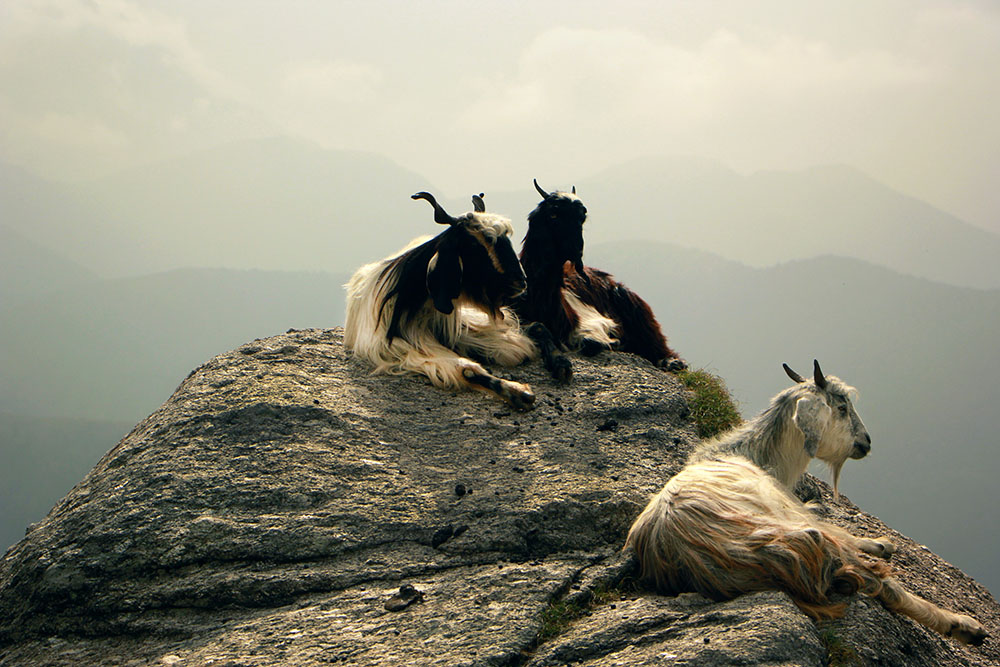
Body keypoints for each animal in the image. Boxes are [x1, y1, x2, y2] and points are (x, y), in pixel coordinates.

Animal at [512, 181, 684, 380]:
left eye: (582, 217)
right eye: (553, 214)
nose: (576, 250)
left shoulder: (594, 319)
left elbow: (590, 341)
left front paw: (612, 342)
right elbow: (538, 329)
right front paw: (560, 364)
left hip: (628, 300)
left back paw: (671, 362)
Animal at [628, 362, 988, 644]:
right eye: (841, 408)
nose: (866, 442)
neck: (753, 457)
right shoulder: (787, 509)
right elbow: (835, 527)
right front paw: (878, 542)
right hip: (803, 539)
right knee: (879, 584)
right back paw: (964, 626)